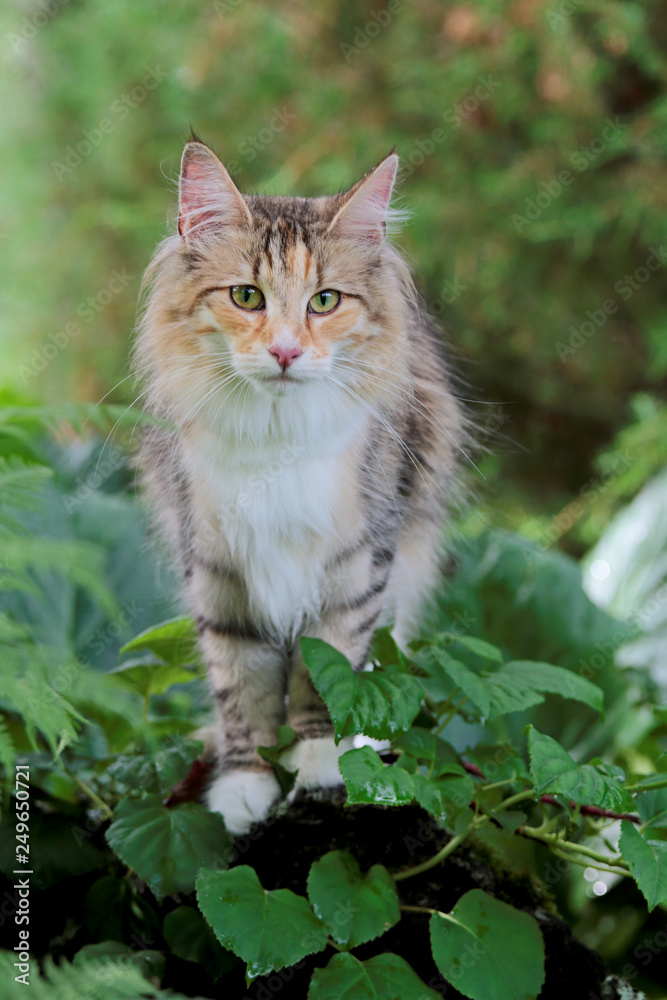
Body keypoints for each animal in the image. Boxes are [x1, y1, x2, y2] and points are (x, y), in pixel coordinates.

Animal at [135, 137, 464, 832]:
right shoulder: (218, 572)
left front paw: (321, 765)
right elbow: (243, 690)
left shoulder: (355, 565)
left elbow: (328, 674)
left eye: (325, 302)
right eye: (246, 297)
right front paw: (244, 786)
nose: (286, 352)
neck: (275, 438)